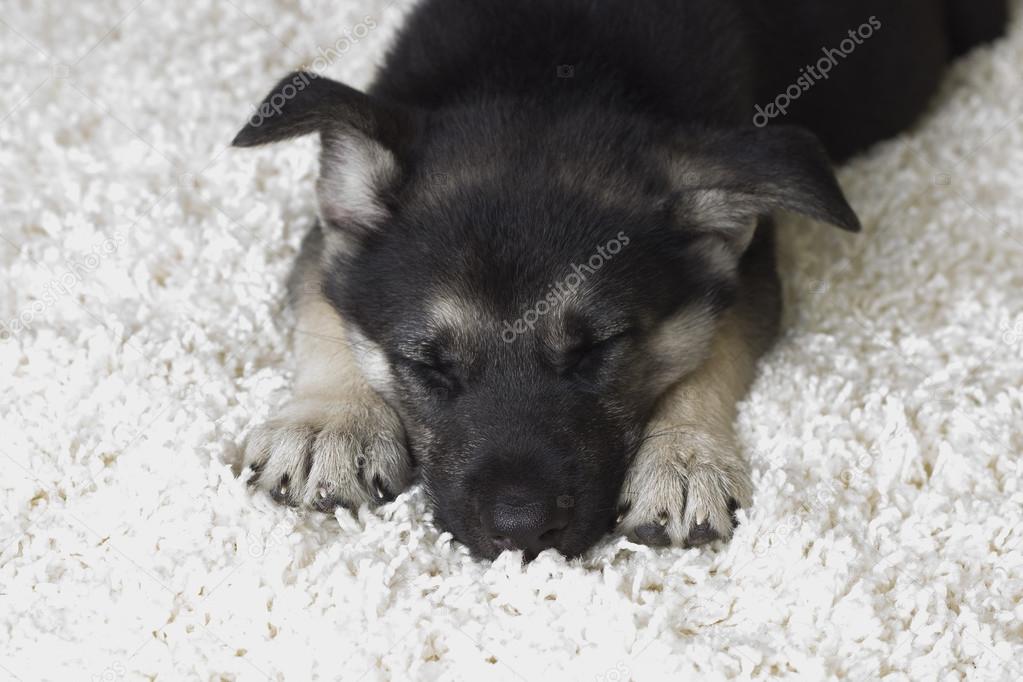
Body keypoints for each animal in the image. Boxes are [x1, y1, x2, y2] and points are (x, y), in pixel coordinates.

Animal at [232, 0, 1006, 560]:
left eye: (598, 350)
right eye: (427, 364)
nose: (521, 534)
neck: (545, 75)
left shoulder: (751, 262)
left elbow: (716, 347)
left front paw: (685, 460)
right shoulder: (329, 239)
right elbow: (324, 306)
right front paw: (329, 422)